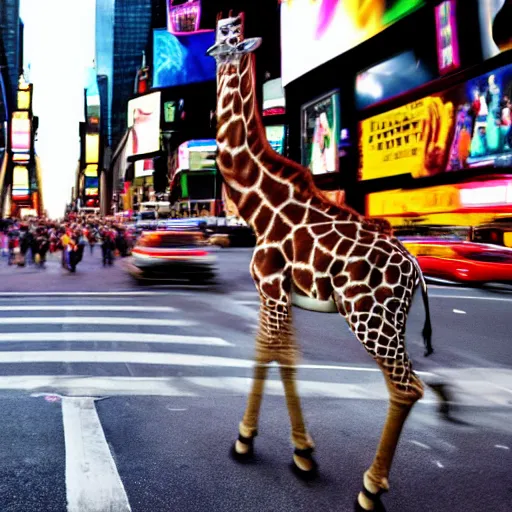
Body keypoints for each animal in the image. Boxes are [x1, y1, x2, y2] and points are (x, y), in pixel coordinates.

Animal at [208, 13, 436, 512]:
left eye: (231, 38)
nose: (216, 50)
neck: (260, 206)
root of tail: (416, 270)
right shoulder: (276, 293)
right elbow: (277, 356)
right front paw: (292, 449)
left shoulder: (271, 287)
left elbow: (274, 357)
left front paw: (258, 443)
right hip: (386, 320)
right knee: (405, 384)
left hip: (371, 317)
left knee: (406, 385)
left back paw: (370, 490)